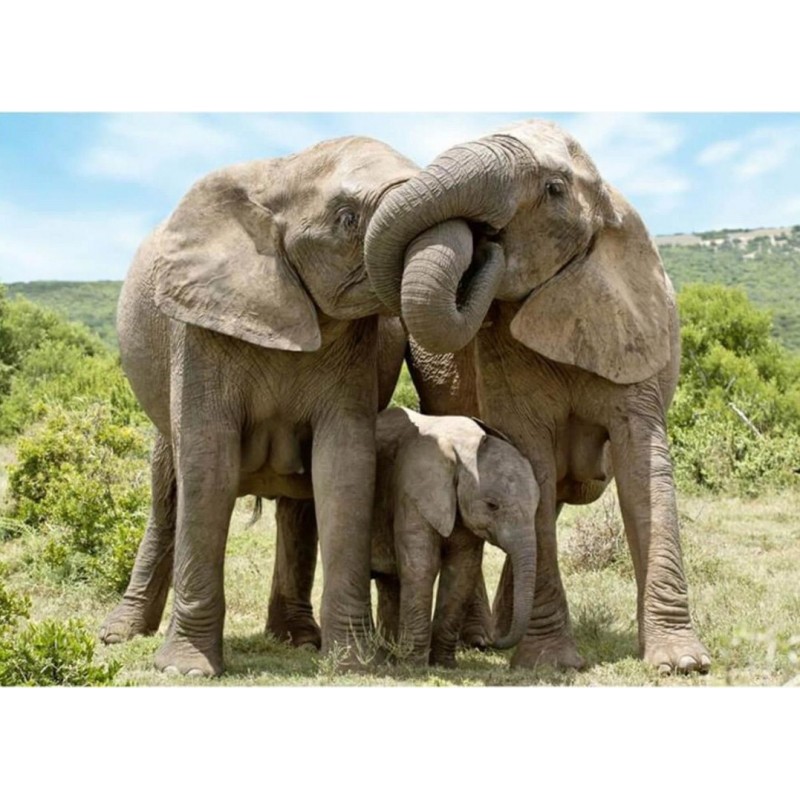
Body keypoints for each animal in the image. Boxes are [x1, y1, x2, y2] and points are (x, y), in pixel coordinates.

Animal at [98, 135, 418, 676]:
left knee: (298, 504)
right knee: (168, 495)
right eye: (347, 219)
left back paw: (297, 639)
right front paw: (185, 670)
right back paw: (118, 635)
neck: (281, 175)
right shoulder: (199, 327)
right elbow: (208, 465)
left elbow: (344, 467)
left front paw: (355, 666)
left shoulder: (358, 348)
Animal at [369, 407, 539, 667]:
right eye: (492, 506)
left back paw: (388, 655)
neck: (463, 446)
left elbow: (463, 569)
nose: (487, 641)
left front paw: (443, 664)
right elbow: (422, 567)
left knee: (389, 583)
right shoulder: (412, 490)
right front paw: (414, 666)